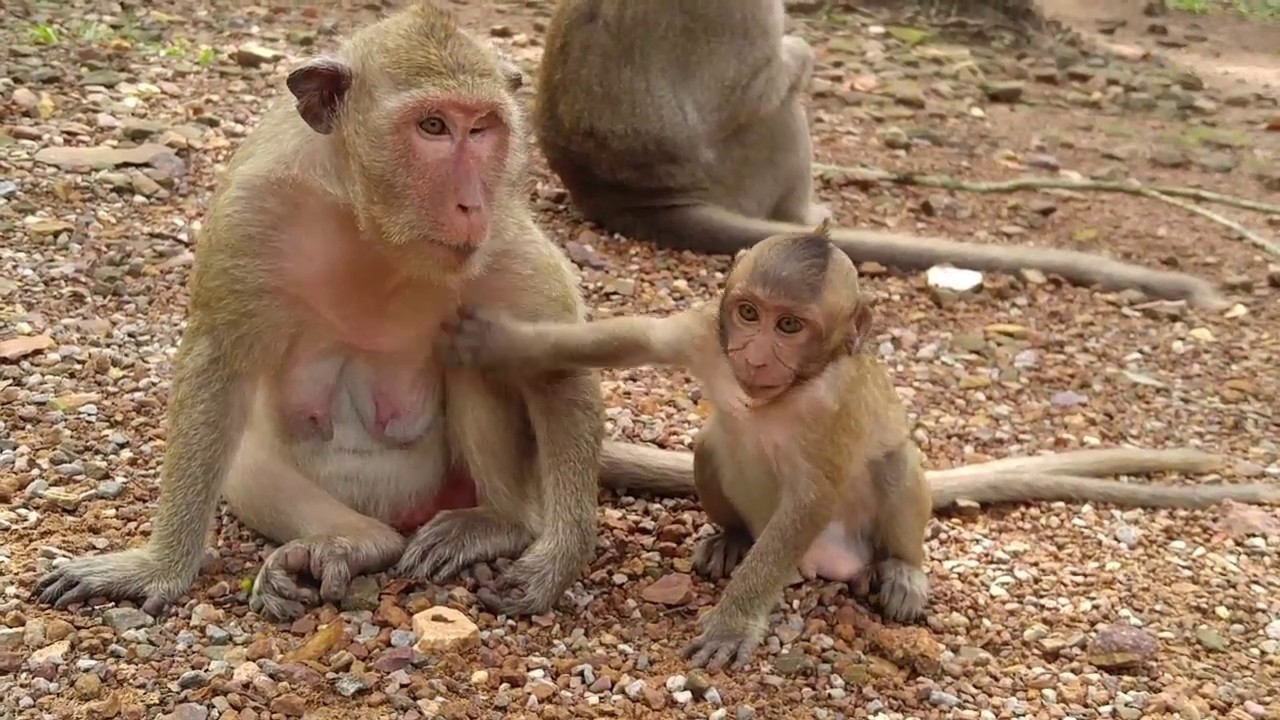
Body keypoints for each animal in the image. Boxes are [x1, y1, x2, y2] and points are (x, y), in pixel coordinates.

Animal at [30, 1, 686, 622]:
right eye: (432, 126)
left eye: (481, 129)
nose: (469, 203)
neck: (371, 222)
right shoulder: (252, 210)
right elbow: (217, 364)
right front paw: (159, 567)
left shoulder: (503, 237)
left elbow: (555, 372)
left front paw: (555, 564)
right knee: (249, 465)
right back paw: (350, 543)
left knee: (477, 362)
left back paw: (498, 522)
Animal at [438, 220, 1279, 670]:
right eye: (748, 312)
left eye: (791, 326)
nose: (756, 355)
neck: (777, 391)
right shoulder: (701, 335)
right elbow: (622, 340)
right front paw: (500, 341)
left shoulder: (833, 405)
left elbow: (813, 493)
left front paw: (735, 622)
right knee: (712, 440)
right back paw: (729, 537)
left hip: (870, 519)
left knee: (892, 469)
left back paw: (901, 570)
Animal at [532, 0, 1229, 311]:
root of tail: (620, 195)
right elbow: (760, 82)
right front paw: (801, 54)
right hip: (747, 170)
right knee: (780, 104)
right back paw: (805, 212)